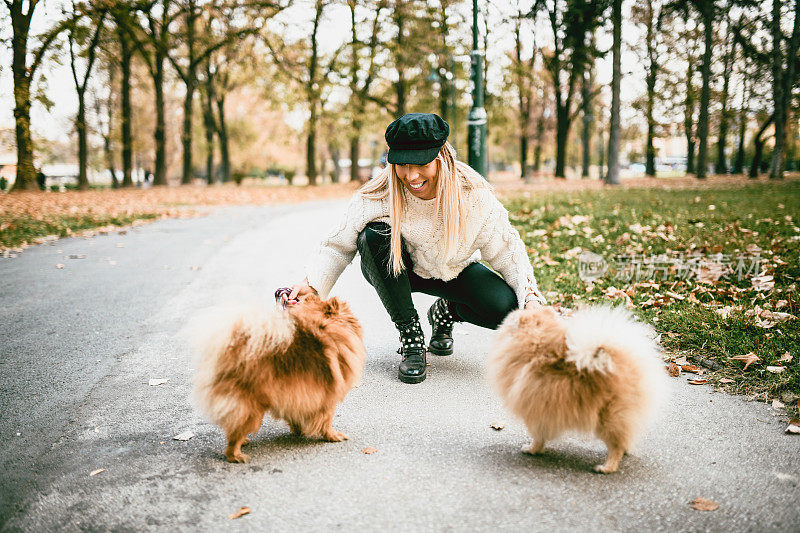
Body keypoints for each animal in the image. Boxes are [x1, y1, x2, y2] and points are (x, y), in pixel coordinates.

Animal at [188, 294, 366, 464]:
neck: (327, 328)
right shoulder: (327, 399)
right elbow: (326, 421)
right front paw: (334, 436)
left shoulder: (298, 397)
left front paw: (298, 429)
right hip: (251, 409)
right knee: (235, 435)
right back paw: (236, 455)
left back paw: (243, 442)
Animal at [488, 304, 668, 474]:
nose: (512, 312)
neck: (535, 345)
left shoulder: (535, 409)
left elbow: (537, 435)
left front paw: (532, 449)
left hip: (609, 418)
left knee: (616, 445)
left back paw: (606, 467)